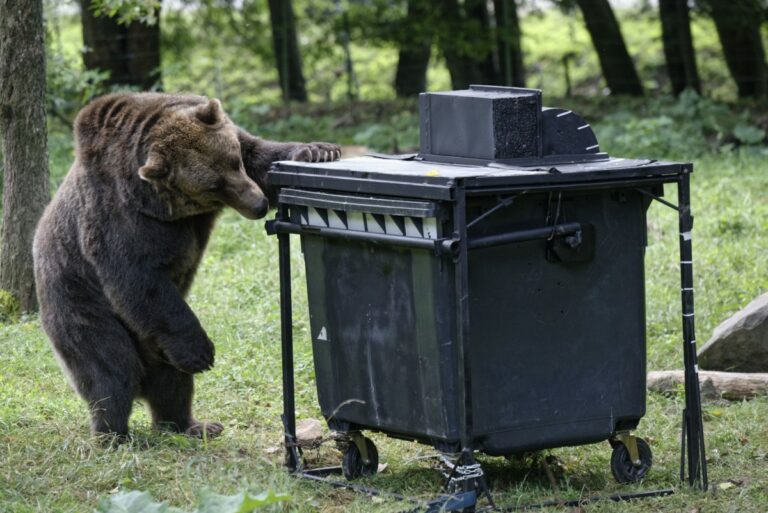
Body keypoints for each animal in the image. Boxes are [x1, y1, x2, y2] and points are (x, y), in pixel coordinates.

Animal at [33, 93, 340, 440]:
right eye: (213, 185)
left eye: (234, 161)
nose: (258, 205)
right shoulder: (121, 217)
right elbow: (139, 279)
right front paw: (203, 352)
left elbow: (262, 158)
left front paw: (317, 151)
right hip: (80, 306)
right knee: (111, 370)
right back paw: (113, 434)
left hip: (157, 344)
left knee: (171, 379)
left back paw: (191, 424)